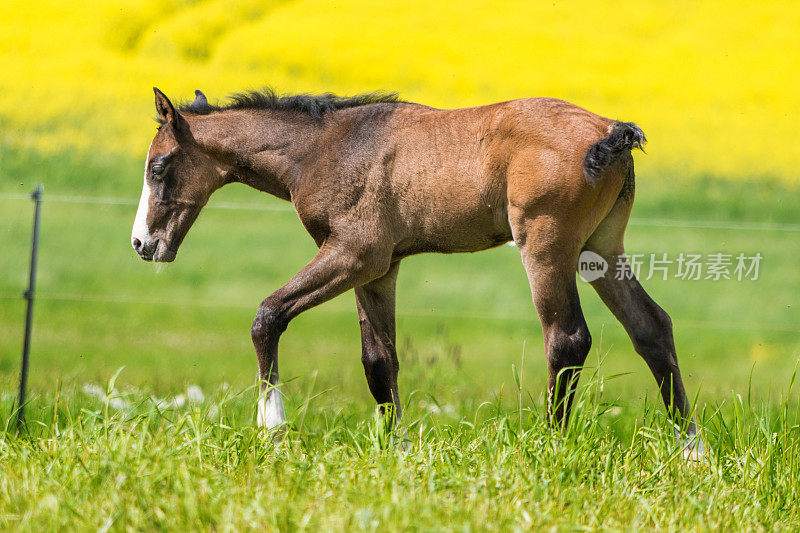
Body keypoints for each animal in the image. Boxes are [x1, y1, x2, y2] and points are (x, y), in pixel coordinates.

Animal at [130, 86, 700, 448]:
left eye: (159, 166)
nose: (142, 244)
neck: (323, 148)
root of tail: (609, 130)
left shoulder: (355, 253)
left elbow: (268, 316)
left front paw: (273, 430)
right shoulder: (380, 268)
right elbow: (379, 361)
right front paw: (398, 451)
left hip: (546, 244)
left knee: (567, 338)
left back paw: (550, 445)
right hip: (600, 248)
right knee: (651, 326)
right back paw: (690, 450)